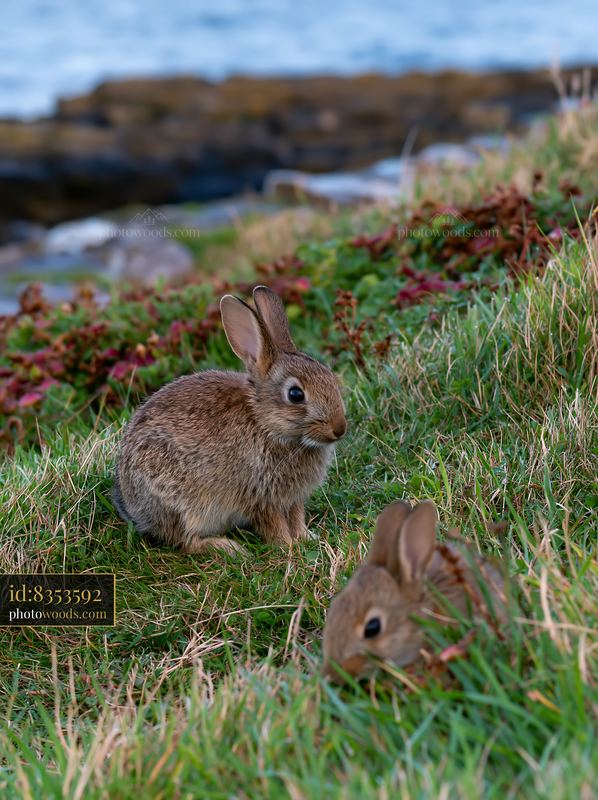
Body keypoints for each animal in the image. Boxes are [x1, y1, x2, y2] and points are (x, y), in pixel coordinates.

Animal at [113, 286, 347, 556]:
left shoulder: (293, 498)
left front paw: (306, 538)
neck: (265, 425)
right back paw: (229, 548)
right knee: (185, 541)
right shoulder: (259, 496)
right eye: (295, 394)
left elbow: (297, 517)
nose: (339, 428)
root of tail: (134, 508)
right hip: (181, 503)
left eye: (329, 376)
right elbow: (273, 524)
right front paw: (287, 547)